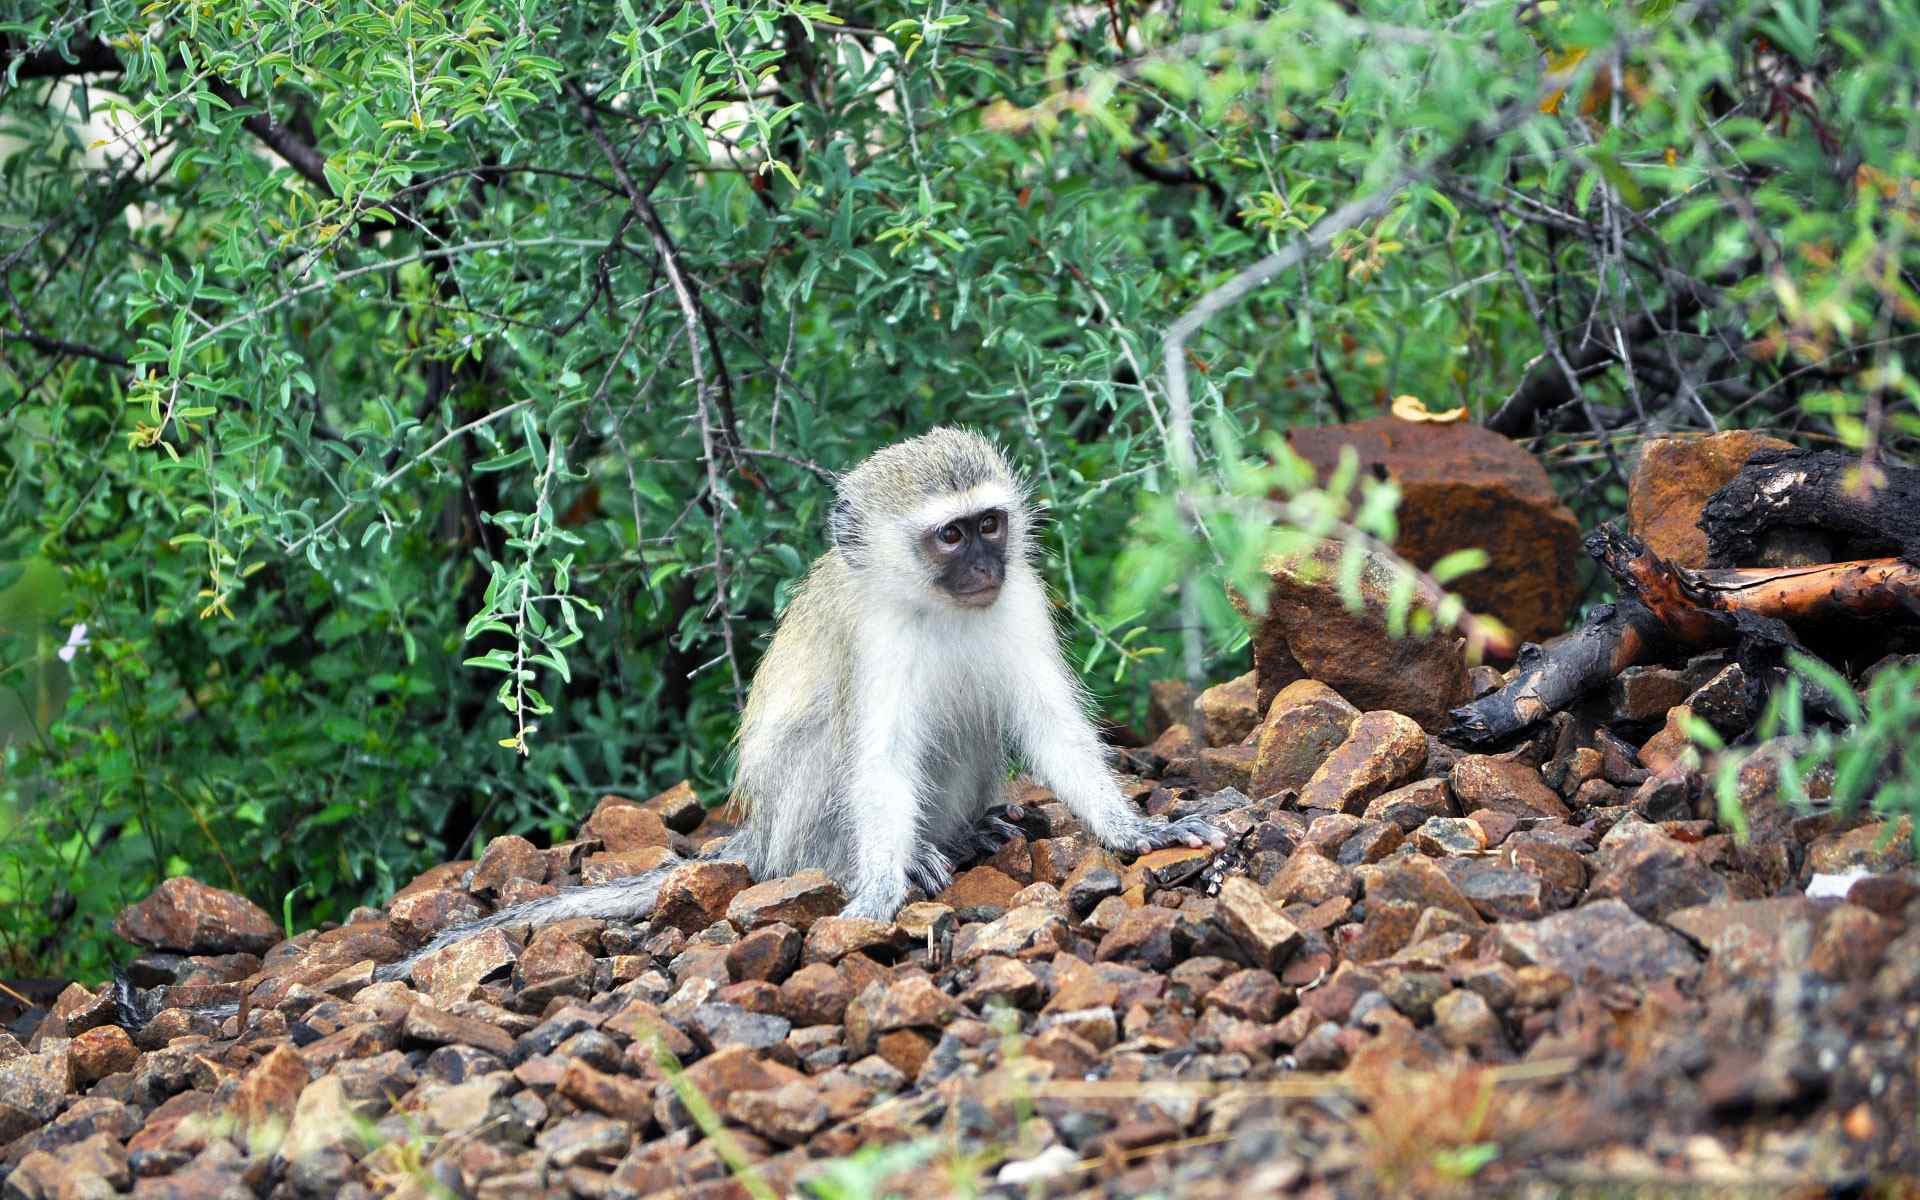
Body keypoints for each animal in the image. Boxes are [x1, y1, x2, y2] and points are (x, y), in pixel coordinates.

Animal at [382, 426, 1221, 979]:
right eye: (951, 537)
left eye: (990, 524)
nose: (987, 565)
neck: (935, 608)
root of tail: (761, 840)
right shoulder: (872, 639)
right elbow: (877, 760)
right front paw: (880, 885)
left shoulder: (1019, 600)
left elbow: (1049, 726)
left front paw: (1137, 831)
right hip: (790, 825)